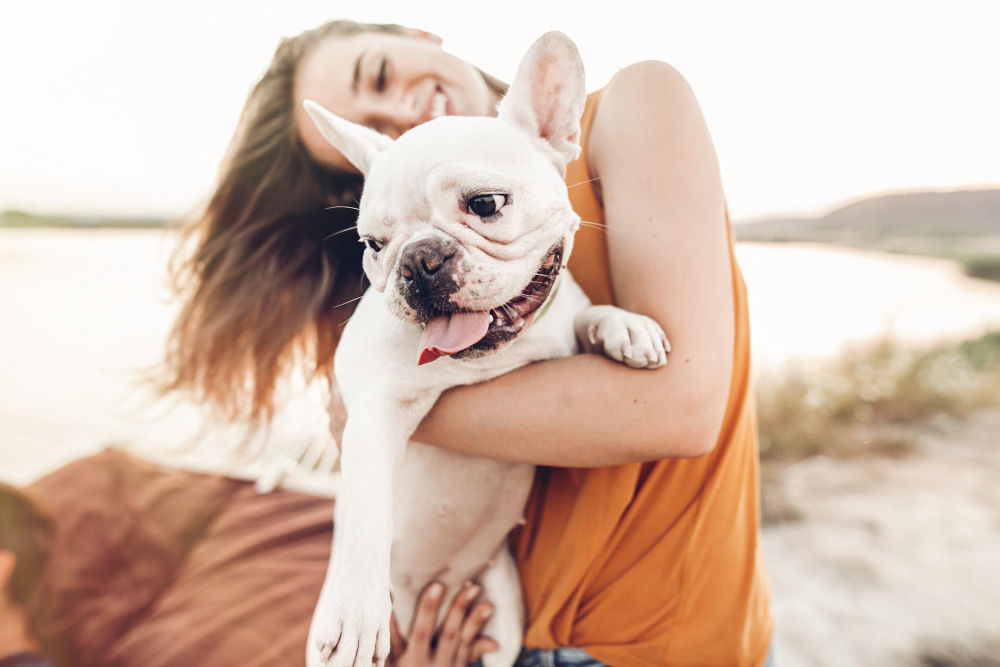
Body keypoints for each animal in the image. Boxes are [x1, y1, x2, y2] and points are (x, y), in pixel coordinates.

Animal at [300, 32, 668, 667]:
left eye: (487, 204)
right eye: (374, 245)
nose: (419, 260)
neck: (490, 358)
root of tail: (432, 587)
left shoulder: (561, 328)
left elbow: (587, 312)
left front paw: (626, 326)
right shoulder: (373, 410)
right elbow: (369, 502)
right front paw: (356, 615)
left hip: (503, 615)